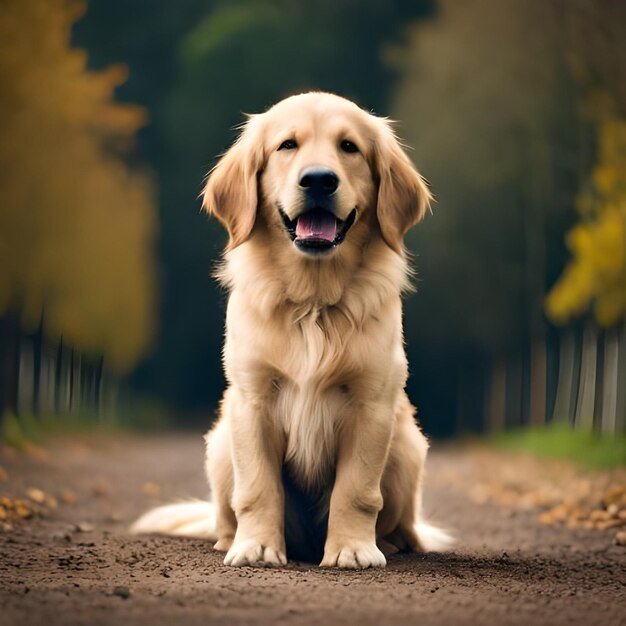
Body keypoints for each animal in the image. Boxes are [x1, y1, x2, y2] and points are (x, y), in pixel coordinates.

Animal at [132, 91, 450, 564]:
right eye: (287, 146)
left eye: (349, 147)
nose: (319, 180)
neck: (313, 303)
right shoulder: (253, 401)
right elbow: (258, 488)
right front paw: (258, 547)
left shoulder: (371, 403)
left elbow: (357, 491)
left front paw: (352, 550)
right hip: (219, 445)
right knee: (226, 511)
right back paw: (230, 538)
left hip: (408, 446)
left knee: (402, 519)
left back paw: (395, 543)